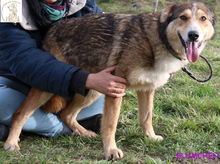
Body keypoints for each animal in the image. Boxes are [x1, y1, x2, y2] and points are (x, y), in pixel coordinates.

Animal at [3, 1, 217, 160]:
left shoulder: (147, 88)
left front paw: (150, 137)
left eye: (203, 19)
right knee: (20, 113)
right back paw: (11, 143)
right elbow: (110, 125)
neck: (157, 37)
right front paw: (111, 151)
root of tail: (53, 29)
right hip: (49, 86)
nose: (193, 35)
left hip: (91, 89)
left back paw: (83, 132)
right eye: (183, 17)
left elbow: (146, 118)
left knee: (66, 114)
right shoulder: (116, 89)